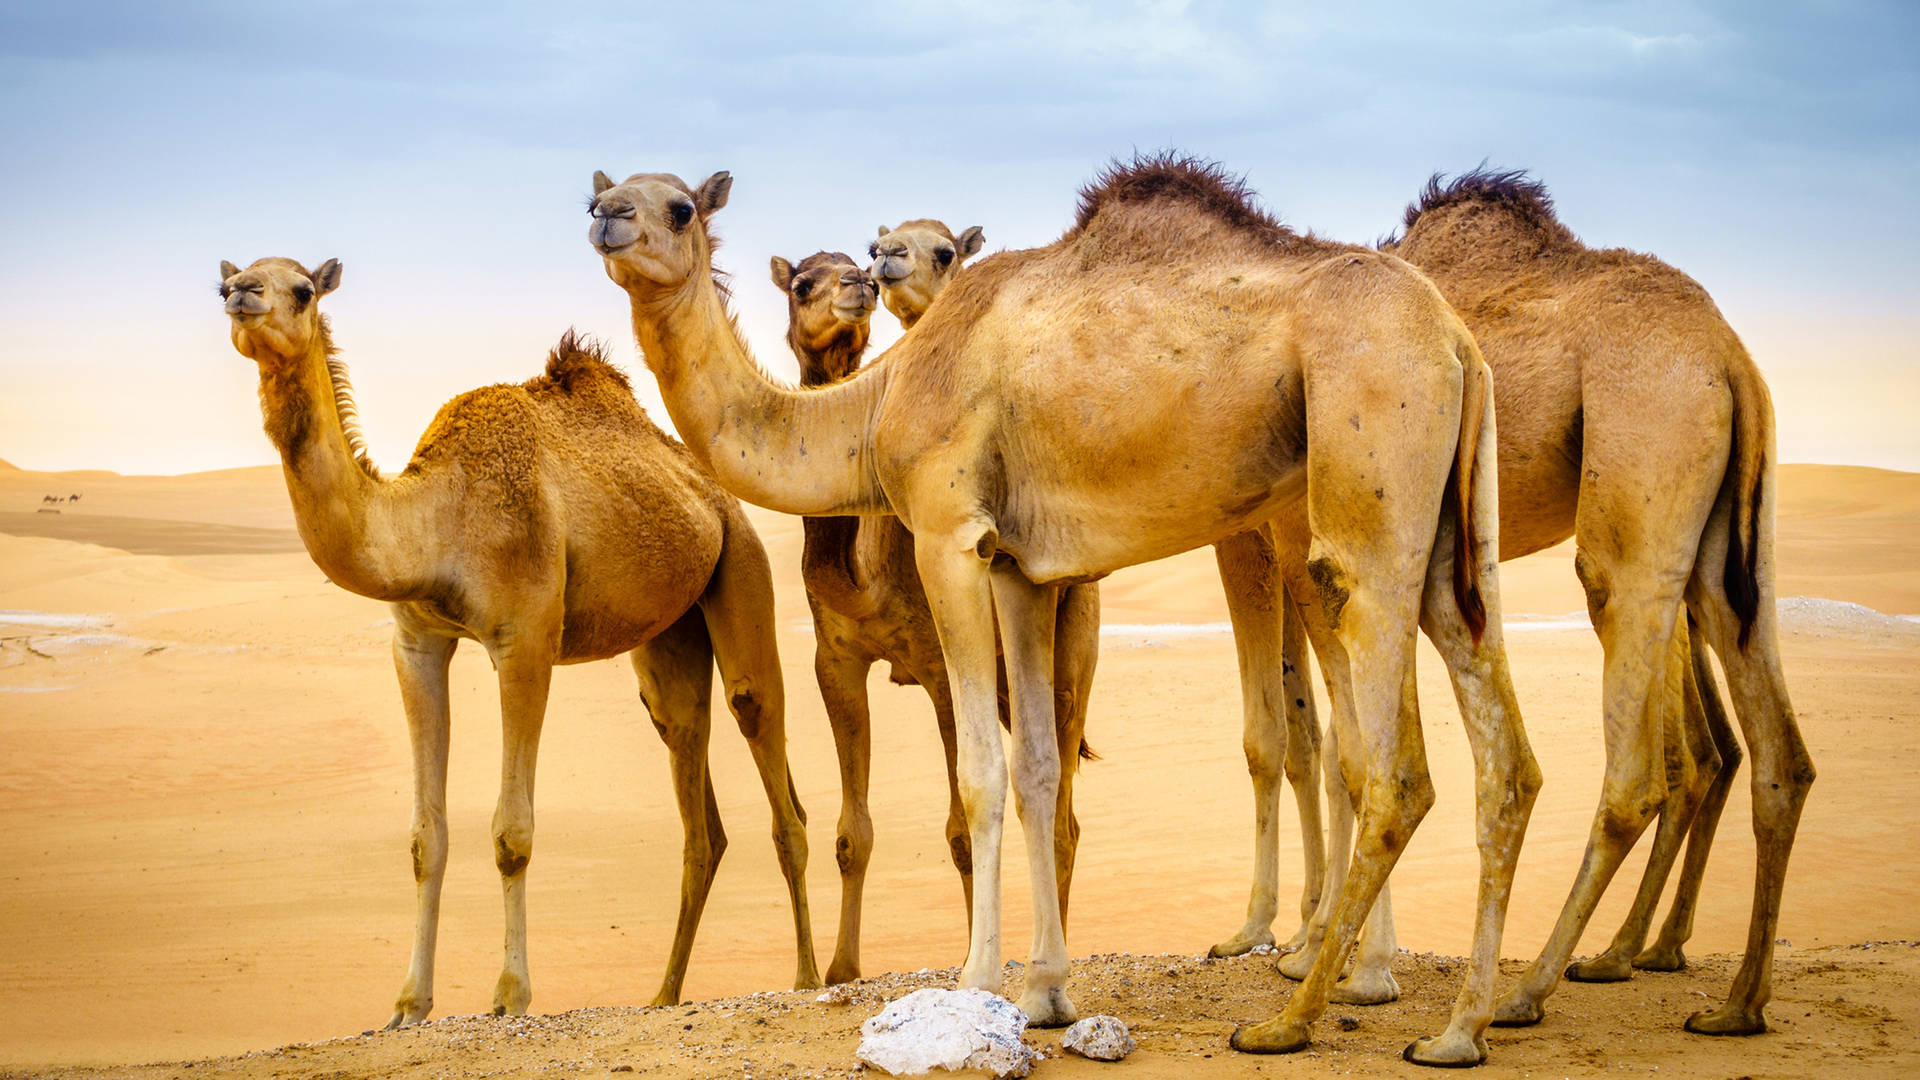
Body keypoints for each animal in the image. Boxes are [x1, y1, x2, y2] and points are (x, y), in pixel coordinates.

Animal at [217, 255, 817, 1022]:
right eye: (231, 280)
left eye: (300, 289)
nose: (241, 295)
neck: (433, 524)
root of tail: (714, 493)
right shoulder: (416, 643)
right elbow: (426, 838)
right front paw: (408, 1003)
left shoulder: (526, 638)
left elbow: (512, 833)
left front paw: (509, 993)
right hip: (668, 637)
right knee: (694, 792)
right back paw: (663, 994)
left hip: (741, 564)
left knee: (769, 756)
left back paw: (808, 976)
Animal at [764, 247, 1098, 980]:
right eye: (802, 283)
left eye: (853, 266)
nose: (860, 284)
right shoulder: (835, 658)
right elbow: (852, 833)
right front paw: (841, 969)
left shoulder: (939, 665)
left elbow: (959, 830)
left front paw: (976, 959)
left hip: (1075, 643)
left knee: (1064, 810)